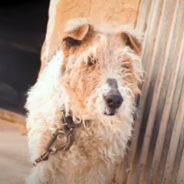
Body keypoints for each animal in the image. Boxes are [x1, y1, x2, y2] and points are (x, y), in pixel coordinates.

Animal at [25, 17, 144, 184]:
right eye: (91, 61)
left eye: (125, 65)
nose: (114, 100)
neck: (77, 122)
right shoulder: (46, 155)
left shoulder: (98, 165)